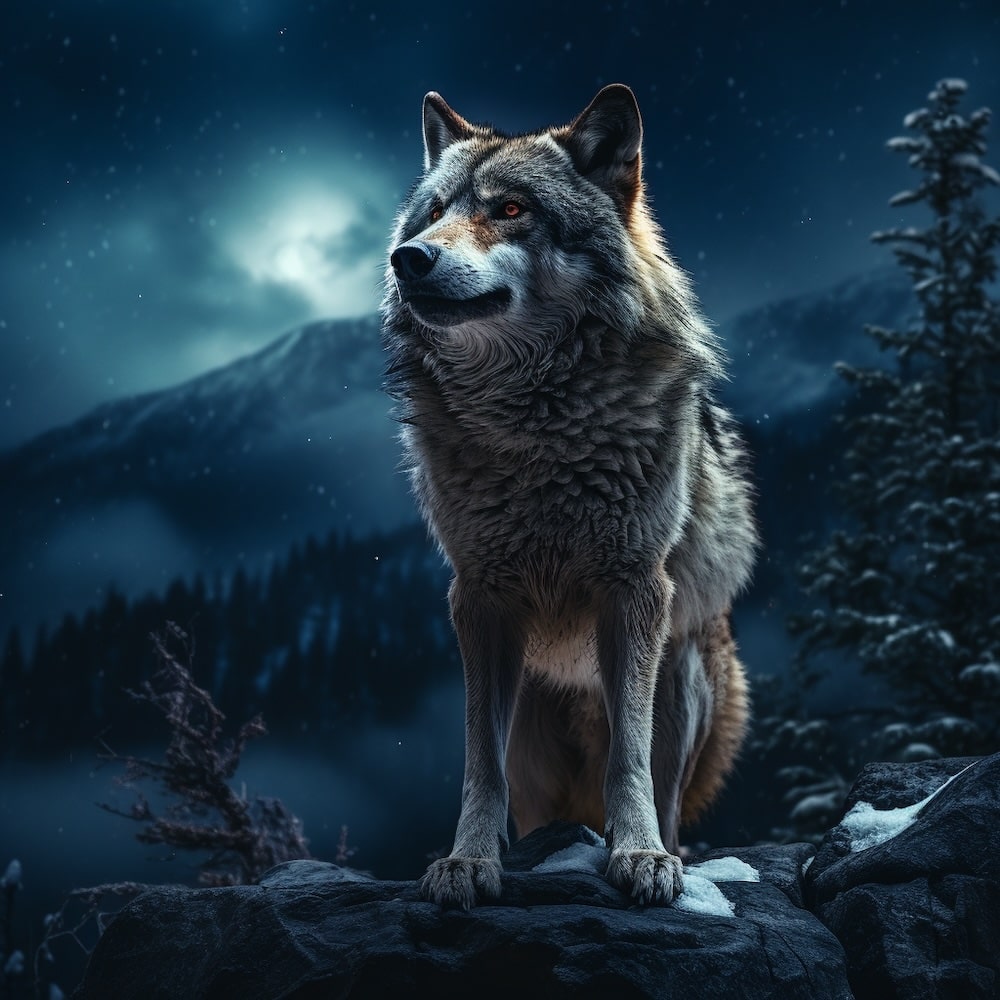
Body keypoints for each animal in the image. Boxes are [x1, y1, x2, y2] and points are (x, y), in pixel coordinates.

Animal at [380, 84, 757, 909]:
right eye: (432, 213)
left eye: (511, 209)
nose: (407, 258)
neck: (537, 428)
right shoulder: (480, 599)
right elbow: (478, 765)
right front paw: (467, 862)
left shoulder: (635, 590)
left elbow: (630, 758)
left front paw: (640, 855)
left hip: (685, 672)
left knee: (663, 785)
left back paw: (666, 851)